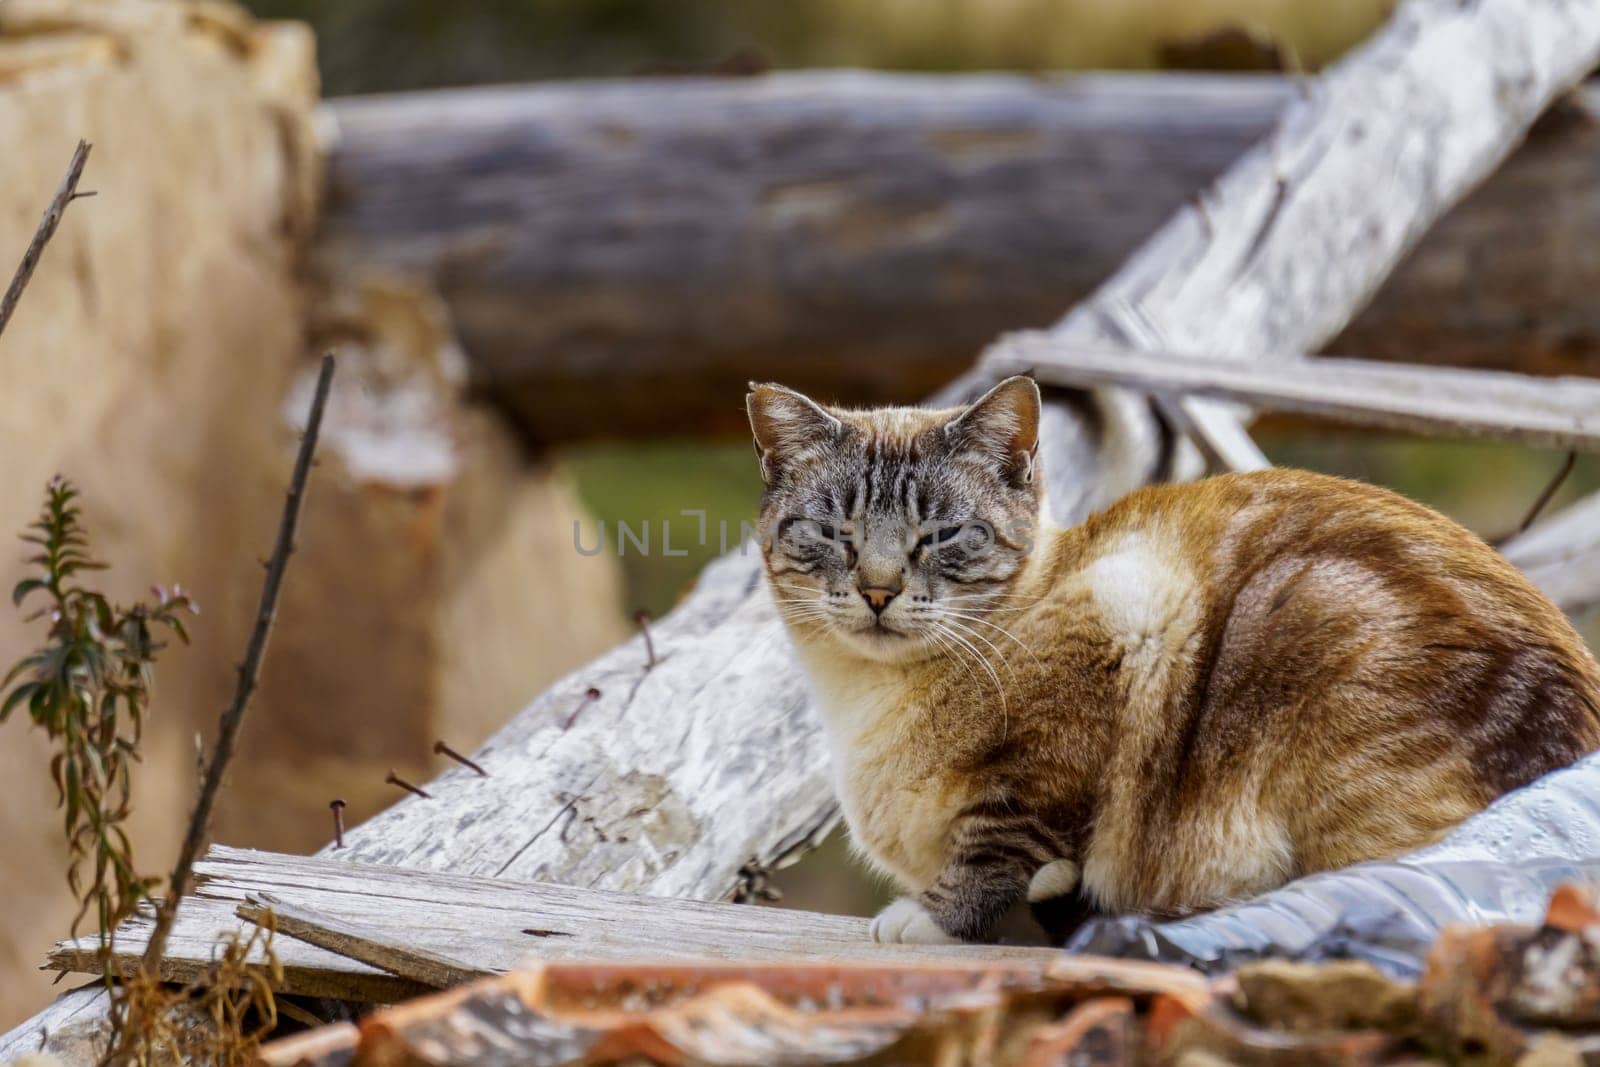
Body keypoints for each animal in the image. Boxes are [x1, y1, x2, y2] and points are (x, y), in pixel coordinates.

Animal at [748, 379, 1600, 947]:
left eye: (941, 536)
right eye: (837, 533)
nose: (878, 590)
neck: (867, 703)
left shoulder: (1112, 642)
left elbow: (999, 842)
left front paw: (930, 918)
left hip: (1300, 607)